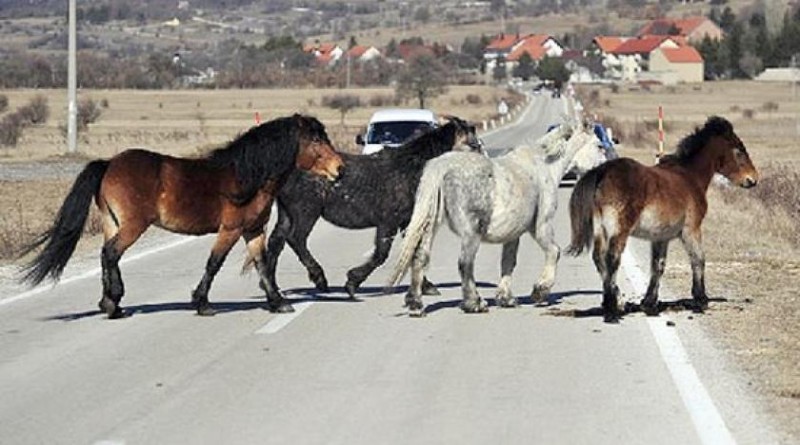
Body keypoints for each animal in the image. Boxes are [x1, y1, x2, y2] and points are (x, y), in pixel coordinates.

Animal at [20, 112, 342, 318]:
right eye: (315, 141)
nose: (339, 169)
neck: (248, 176)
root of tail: (109, 163)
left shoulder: (253, 231)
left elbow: (262, 264)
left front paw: (278, 302)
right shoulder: (231, 229)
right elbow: (214, 263)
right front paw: (202, 303)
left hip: (112, 223)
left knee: (105, 254)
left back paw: (110, 303)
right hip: (133, 225)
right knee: (111, 253)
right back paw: (113, 304)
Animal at [260, 116, 482, 300]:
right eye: (472, 143)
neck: (412, 168)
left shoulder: (406, 221)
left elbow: (412, 250)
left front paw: (426, 286)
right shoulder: (388, 222)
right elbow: (381, 254)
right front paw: (352, 282)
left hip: (287, 213)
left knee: (276, 242)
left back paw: (271, 287)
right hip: (306, 212)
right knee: (296, 239)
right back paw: (319, 279)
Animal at [386, 120, 600, 316]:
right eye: (599, 145)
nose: (601, 171)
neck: (544, 166)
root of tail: (441, 167)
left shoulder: (514, 234)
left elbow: (508, 262)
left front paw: (506, 298)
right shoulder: (541, 226)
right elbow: (553, 252)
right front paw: (540, 291)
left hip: (431, 226)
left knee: (419, 257)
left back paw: (416, 304)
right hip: (471, 234)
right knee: (465, 263)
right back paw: (474, 303)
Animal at [564, 114, 760, 322]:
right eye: (739, 151)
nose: (753, 179)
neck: (689, 176)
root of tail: (602, 172)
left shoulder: (661, 237)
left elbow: (658, 266)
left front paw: (649, 303)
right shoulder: (691, 230)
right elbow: (698, 259)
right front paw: (701, 300)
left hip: (600, 229)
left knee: (599, 258)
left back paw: (613, 301)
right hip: (618, 230)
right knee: (612, 258)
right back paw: (612, 309)